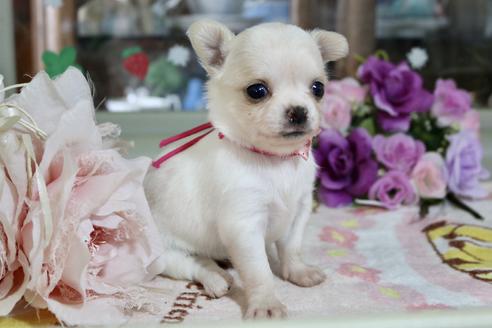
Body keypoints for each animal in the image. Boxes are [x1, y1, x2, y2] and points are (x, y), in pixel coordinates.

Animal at [144, 19, 348, 318]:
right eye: (257, 91)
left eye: (318, 88)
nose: (298, 111)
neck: (275, 161)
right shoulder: (244, 226)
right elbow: (259, 271)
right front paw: (266, 304)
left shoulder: (299, 211)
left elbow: (292, 247)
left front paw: (297, 272)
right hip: (164, 253)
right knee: (190, 264)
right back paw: (215, 280)